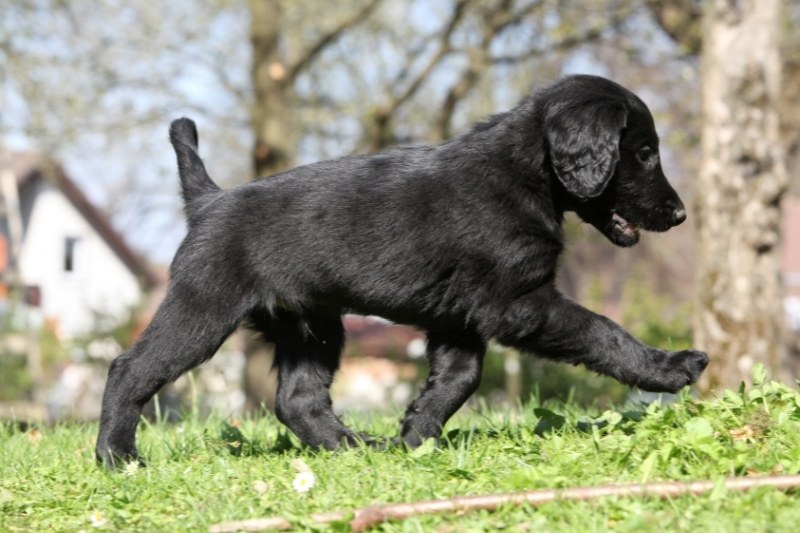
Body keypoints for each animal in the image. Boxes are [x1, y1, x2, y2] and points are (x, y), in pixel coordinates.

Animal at [98, 74, 708, 466]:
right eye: (645, 152)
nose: (681, 214)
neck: (521, 172)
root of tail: (209, 201)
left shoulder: (461, 318)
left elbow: (461, 377)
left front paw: (416, 434)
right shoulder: (519, 302)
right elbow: (601, 330)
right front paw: (669, 367)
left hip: (312, 325)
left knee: (298, 400)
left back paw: (353, 450)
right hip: (203, 308)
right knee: (129, 369)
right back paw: (117, 456)